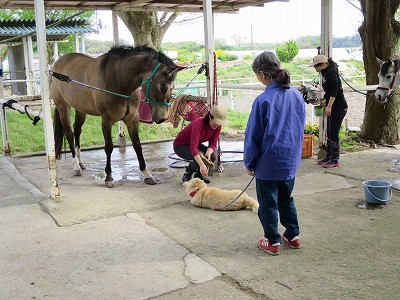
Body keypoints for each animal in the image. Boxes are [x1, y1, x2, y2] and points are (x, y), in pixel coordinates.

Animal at [50, 45, 186, 186]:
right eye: (163, 87)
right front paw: (109, 177)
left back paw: (80, 162)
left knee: (77, 130)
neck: (119, 81)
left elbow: (137, 146)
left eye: (172, 87)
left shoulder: (132, 119)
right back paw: (76, 166)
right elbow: (109, 147)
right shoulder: (107, 120)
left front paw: (147, 174)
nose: (162, 118)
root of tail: (57, 63)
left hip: (81, 109)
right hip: (63, 107)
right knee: (70, 134)